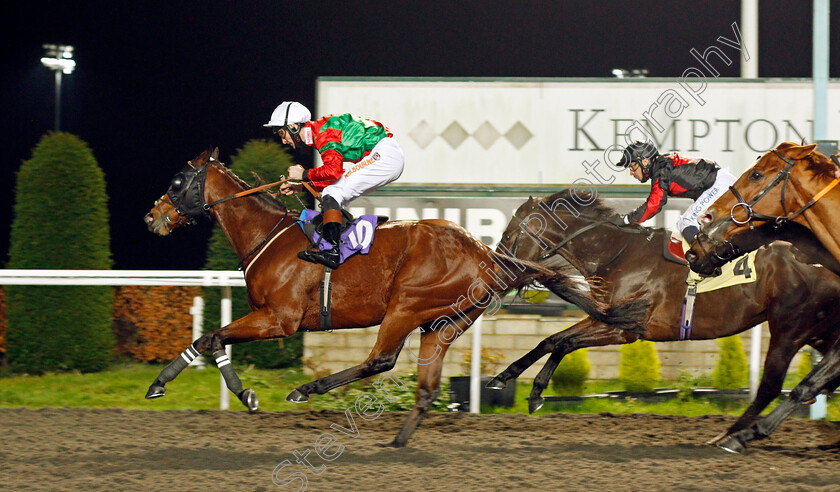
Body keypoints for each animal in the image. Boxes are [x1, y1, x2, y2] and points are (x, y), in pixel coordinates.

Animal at [144, 148, 648, 448]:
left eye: (176, 182)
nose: (152, 219)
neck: (270, 237)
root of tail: (487, 254)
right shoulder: (267, 317)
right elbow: (212, 341)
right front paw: (220, 389)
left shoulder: (279, 319)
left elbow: (212, 338)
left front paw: (227, 392)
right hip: (443, 323)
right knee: (424, 388)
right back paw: (398, 442)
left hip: (406, 304)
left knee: (380, 360)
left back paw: (307, 390)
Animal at [486, 189, 840, 450]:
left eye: (510, 233)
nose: (497, 269)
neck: (618, 254)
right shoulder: (606, 316)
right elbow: (553, 341)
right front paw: (508, 380)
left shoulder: (627, 328)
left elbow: (565, 343)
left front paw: (532, 391)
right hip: (818, 332)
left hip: (790, 327)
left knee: (772, 386)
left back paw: (733, 437)